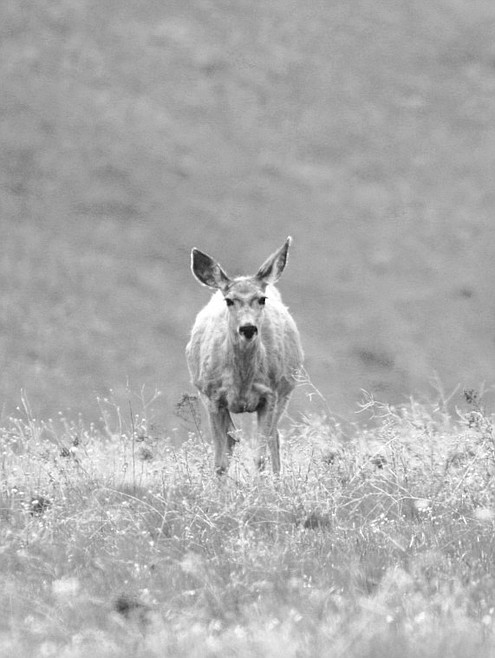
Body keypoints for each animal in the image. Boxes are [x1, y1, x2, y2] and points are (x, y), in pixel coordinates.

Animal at [186, 236, 303, 475]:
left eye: (262, 299)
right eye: (229, 300)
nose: (248, 328)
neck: (242, 382)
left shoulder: (270, 395)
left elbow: (259, 458)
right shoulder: (212, 396)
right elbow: (220, 461)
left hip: (285, 392)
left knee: (274, 437)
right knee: (234, 439)